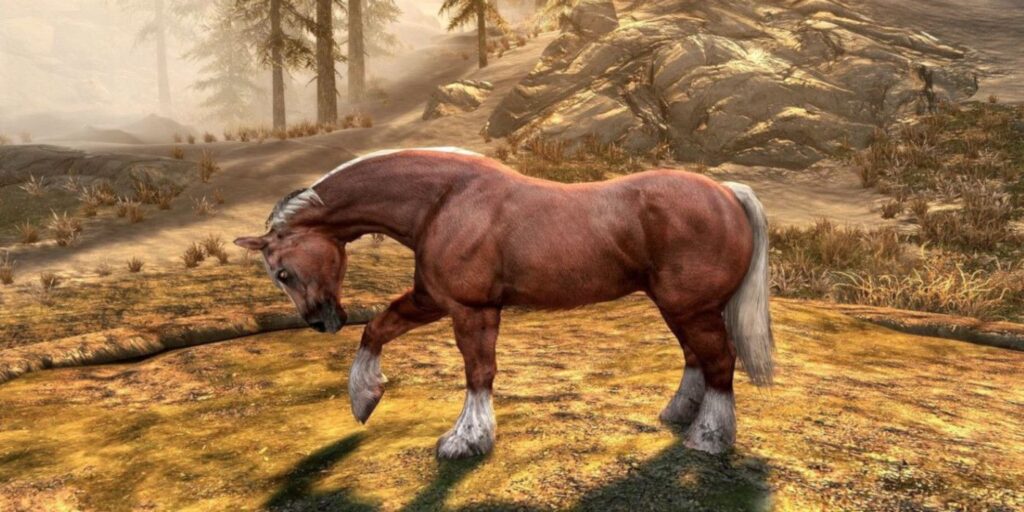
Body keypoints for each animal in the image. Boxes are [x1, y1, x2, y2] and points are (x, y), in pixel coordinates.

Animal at [234, 147, 773, 458]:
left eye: (282, 272)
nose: (320, 322)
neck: (443, 201)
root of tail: (727, 192)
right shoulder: (433, 299)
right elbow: (379, 328)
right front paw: (364, 399)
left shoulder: (470, 309)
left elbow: (478, 372)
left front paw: (465, 440)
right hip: (679, 308)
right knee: (696, 359)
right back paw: (679, 416)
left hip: (691, 308)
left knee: (719, 362)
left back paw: (708, 440)